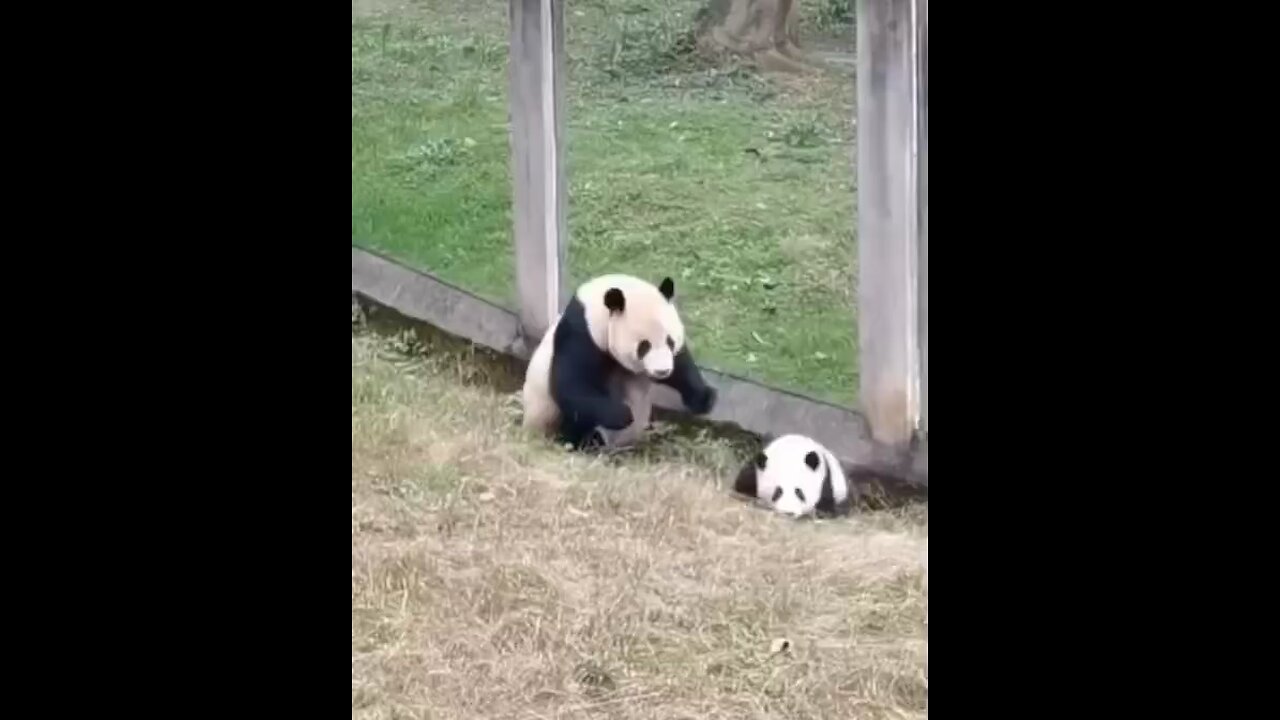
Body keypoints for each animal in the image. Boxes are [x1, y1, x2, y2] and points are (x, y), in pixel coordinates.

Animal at [522, 271, 721, 445]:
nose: (662, 371)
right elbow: (571, 384)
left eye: (670, 341)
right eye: (644, 346)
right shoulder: (582, 333)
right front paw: (622, 414)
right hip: (547, 414)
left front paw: (704, 398)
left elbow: (681, 365)